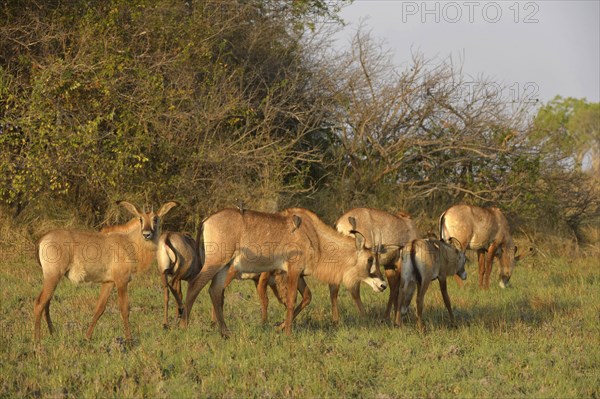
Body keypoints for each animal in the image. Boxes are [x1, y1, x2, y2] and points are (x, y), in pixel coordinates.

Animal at [33, 202, 178, 346]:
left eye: (155, 218)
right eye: (140, 219)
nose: (146, 234)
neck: (129, 243)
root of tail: (42, 239)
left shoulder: (108, 282)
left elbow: (99, 309)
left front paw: (87, 338)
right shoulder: (121, 281)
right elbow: (124, 309)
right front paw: (129, 340)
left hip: (53, 278)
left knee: (46, 303)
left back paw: (53, 334)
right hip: (52, 277)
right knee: (40, 303)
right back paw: (37, 342)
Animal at [179, 209, 384, 338]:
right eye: (369, 259)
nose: (382, 285)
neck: (315, 236)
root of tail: (206, 220)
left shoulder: (297, 273)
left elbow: (306, 297)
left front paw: (279, 326)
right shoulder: (293, 269)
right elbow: (291, 300)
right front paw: (287, 333)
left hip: (224, 267)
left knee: (214, 291)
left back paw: (225, 332)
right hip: (216, 262)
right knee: (195, 285)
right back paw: (184, 325)